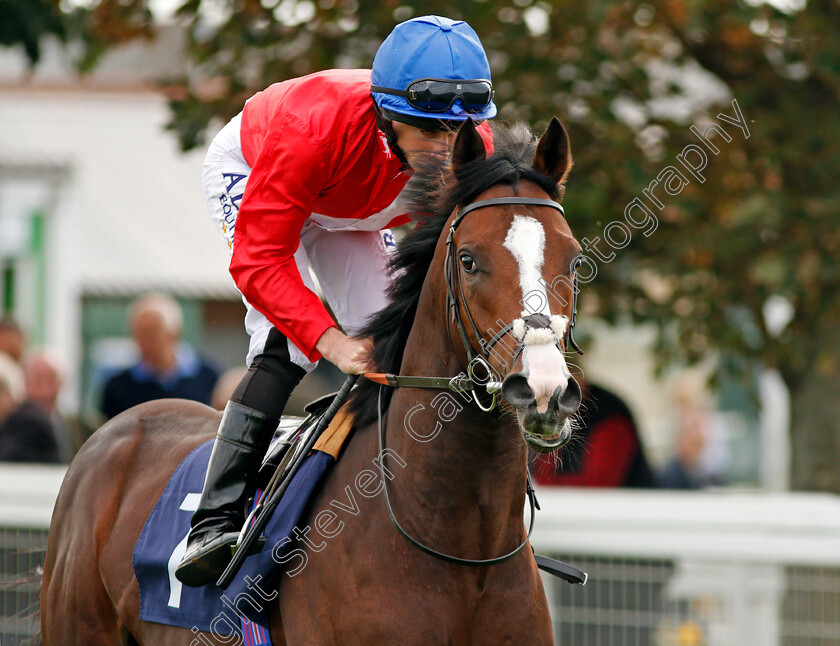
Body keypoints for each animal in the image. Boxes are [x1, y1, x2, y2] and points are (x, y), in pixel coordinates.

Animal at [41, 119, 584, 644]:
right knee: (278, 347)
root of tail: (116, 428)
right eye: (469, 259)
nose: (545, 390)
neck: (462, 548)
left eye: (575, 259)